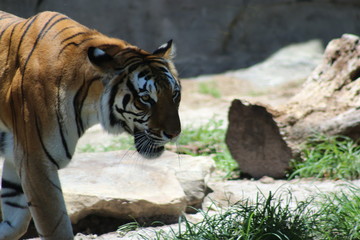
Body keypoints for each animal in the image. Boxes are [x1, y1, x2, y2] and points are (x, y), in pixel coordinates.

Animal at [0, 10, 181, 239]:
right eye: (146, 98)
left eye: (174, 95)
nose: (174, 133)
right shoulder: (36, 161)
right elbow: (55, 226)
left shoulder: (17, 155)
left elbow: (15, 220)